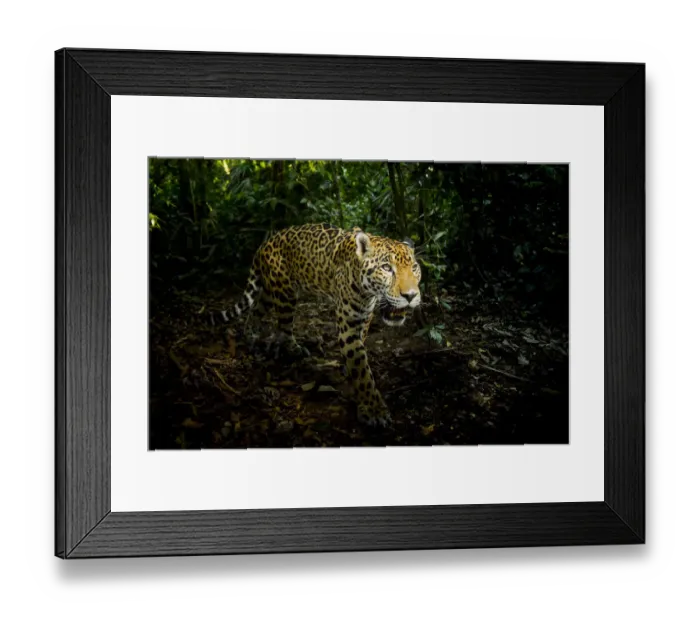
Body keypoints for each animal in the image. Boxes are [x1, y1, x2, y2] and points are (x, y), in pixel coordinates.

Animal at [212, 223, 422, 427]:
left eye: (414, 268)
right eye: (386, 267)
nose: (411, 295)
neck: (368, 292)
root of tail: (266, 242)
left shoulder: (365, 317)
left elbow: (360, 346)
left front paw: (348, 369)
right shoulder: (348, 325)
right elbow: (361, 369)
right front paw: (373, 409)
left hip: (269, 294)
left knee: (255, 310)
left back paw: (251, 338)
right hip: (285, 295)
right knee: (284, 327)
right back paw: (294, 350)